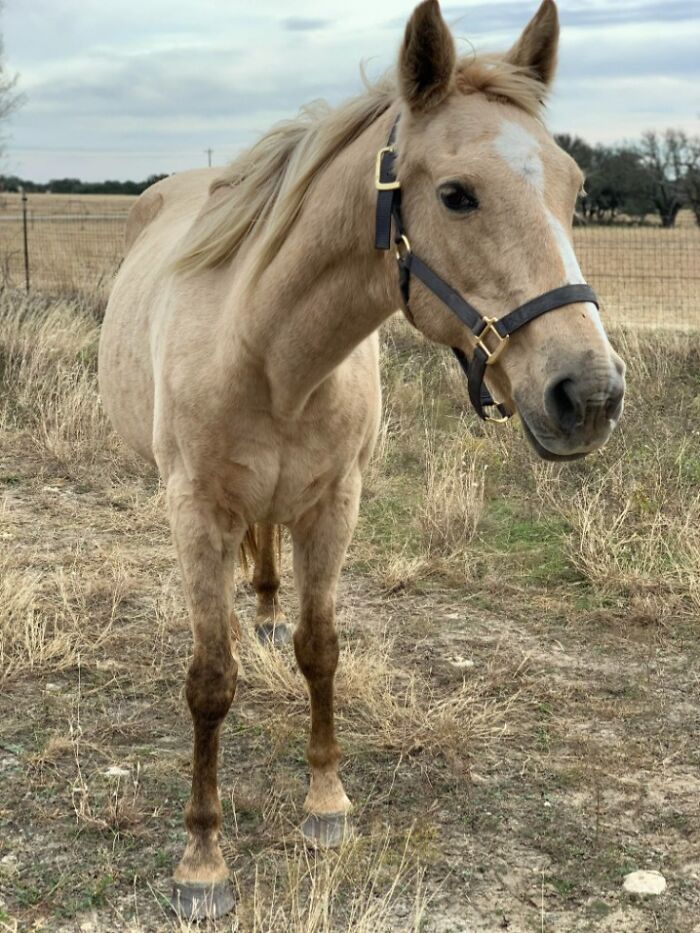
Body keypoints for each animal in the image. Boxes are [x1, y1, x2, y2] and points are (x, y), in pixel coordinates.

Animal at [98, 0, 625, 918]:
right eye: (456, 195)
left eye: (575, 190)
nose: (587, 393)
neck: (270, 353)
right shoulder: (197, 511)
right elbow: (210, 679)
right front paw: (203, 860)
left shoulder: (333, 505)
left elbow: (320, 649)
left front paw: (325, 801)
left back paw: (266, 610)